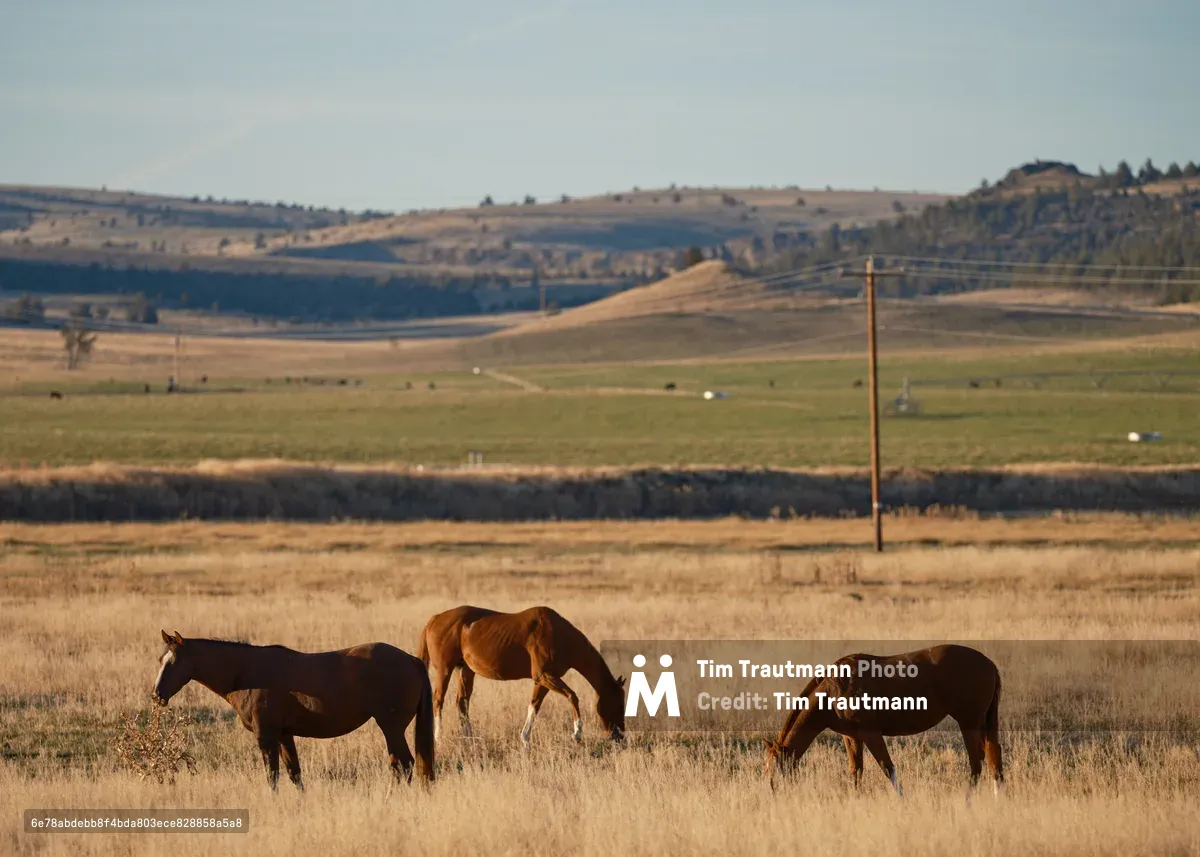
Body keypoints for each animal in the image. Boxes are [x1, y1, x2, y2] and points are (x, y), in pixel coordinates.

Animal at [152, 630, 434, 790]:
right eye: (160, 659)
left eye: (174, 662)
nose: (156, 696)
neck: (245, 673)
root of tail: (412, 660)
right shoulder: (284, 735)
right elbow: (294, 774)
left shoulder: (266, 736)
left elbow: (272, 776)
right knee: (399, 766)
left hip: (391, 728)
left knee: (406, 765)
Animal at [416, 606, 626, 748]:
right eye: (618, 703)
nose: (620, 735)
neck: (558, 634)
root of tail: (434, 619)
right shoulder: (545, 676)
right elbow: (572, 696)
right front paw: (576, 733)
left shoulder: (542, 680)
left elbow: (534, 706)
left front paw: (525, 741)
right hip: (444, 669)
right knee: (438, 700)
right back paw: (438, 738)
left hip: (465, 670)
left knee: (462, 703)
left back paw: (470, 739)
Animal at [763, 644, 1002, 799]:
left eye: (774, 768)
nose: (770, 791)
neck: (834, 690)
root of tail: (989, 663)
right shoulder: (851, 737)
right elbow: (856, 770)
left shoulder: (871, 734)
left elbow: (887, 768)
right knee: (994, 758)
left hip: (968, 722)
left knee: (977, 763)